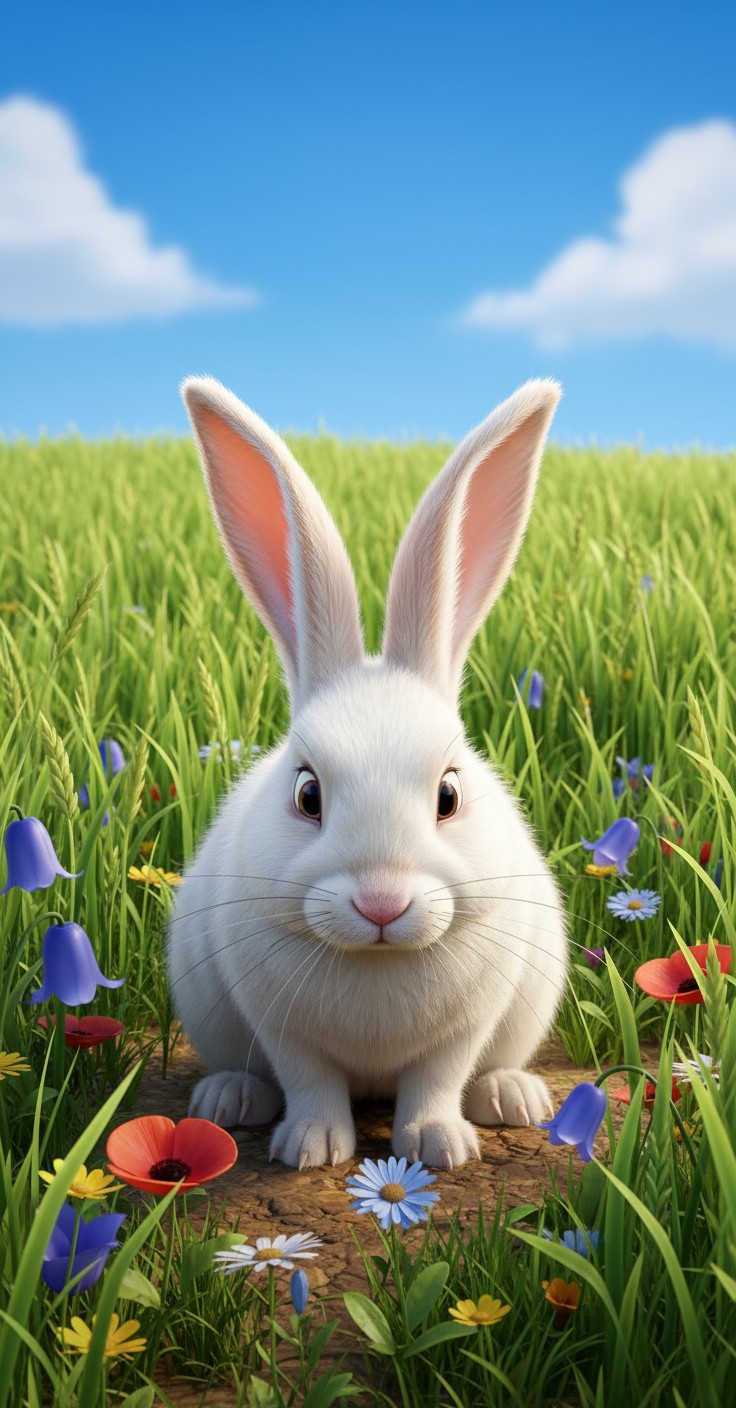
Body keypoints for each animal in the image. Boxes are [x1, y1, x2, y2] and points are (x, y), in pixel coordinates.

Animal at [167, 375, 568, 1170]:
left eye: (449, 793)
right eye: (306, 793)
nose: (382, 903)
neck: (377, 961)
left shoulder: (467, 1026)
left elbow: (437, 1078)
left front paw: (439, 1147)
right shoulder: (281, 1027)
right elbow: (310, 1079)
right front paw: (312, 1148)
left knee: (489, 1071)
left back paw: (512, 1098)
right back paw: (230, 1099)